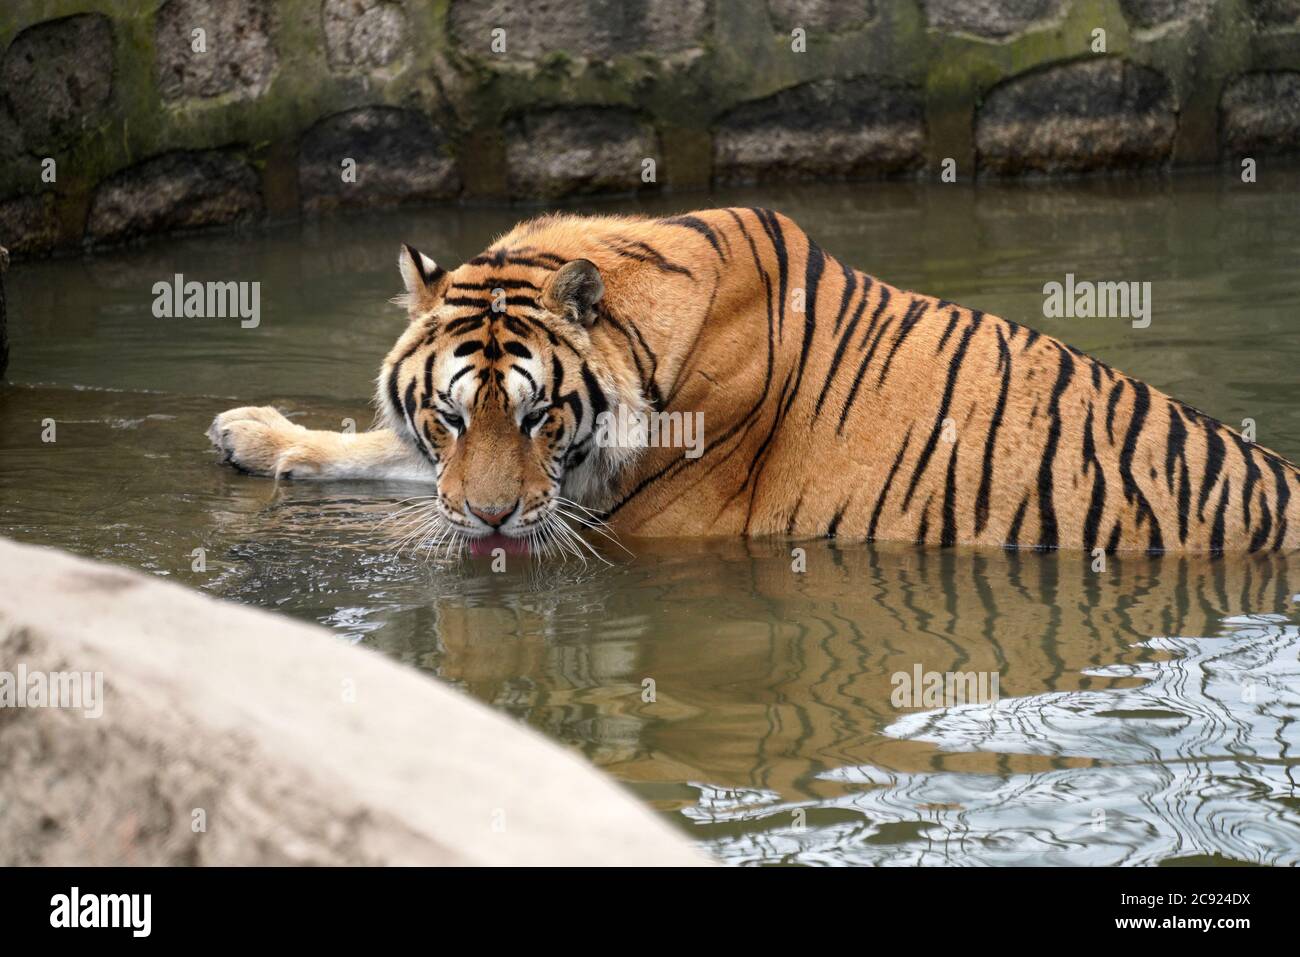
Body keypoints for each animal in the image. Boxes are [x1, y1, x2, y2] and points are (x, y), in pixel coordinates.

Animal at [208, 205, 1300, 556]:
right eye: (445, 416)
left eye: (542, 416)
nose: (487, 524)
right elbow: (375, 455)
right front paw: (255, 433)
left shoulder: (615, 515)